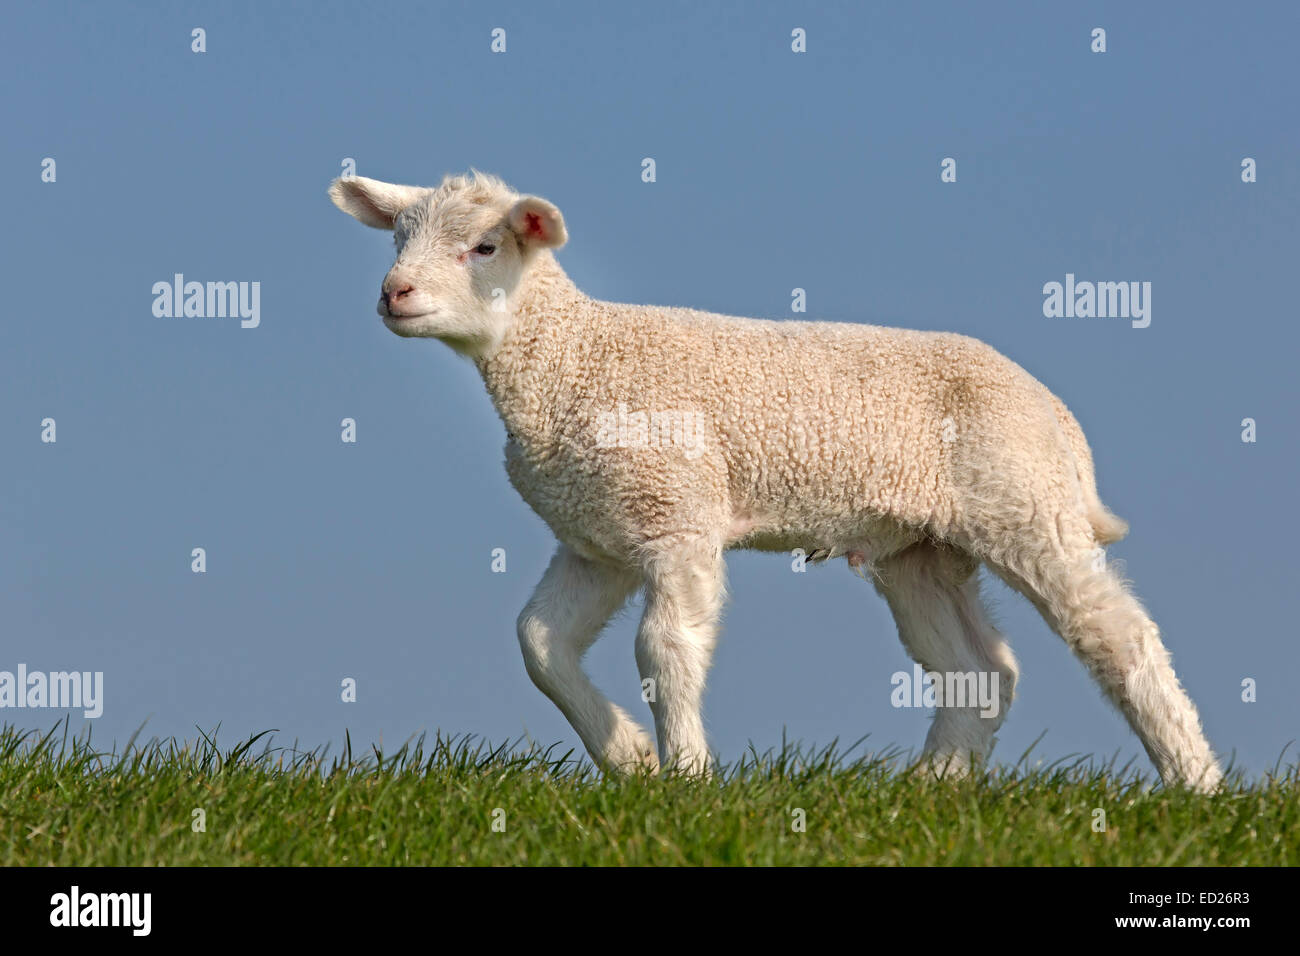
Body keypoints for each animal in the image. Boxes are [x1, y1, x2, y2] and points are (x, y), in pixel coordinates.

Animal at [330, 171, 1222, 790]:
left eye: (484, 247)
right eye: (396, 239)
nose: (394, 293)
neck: (574, 361)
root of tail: (1058, 416)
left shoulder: (677, 514)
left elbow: (665, 647)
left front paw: (687, 779)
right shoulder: (599, 536)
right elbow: (539, 644)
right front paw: (631, 761)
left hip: (1023, 500)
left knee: (1118, 636)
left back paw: (1198, 784)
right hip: (921, 548)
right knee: (979, 667)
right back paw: (930, 787)